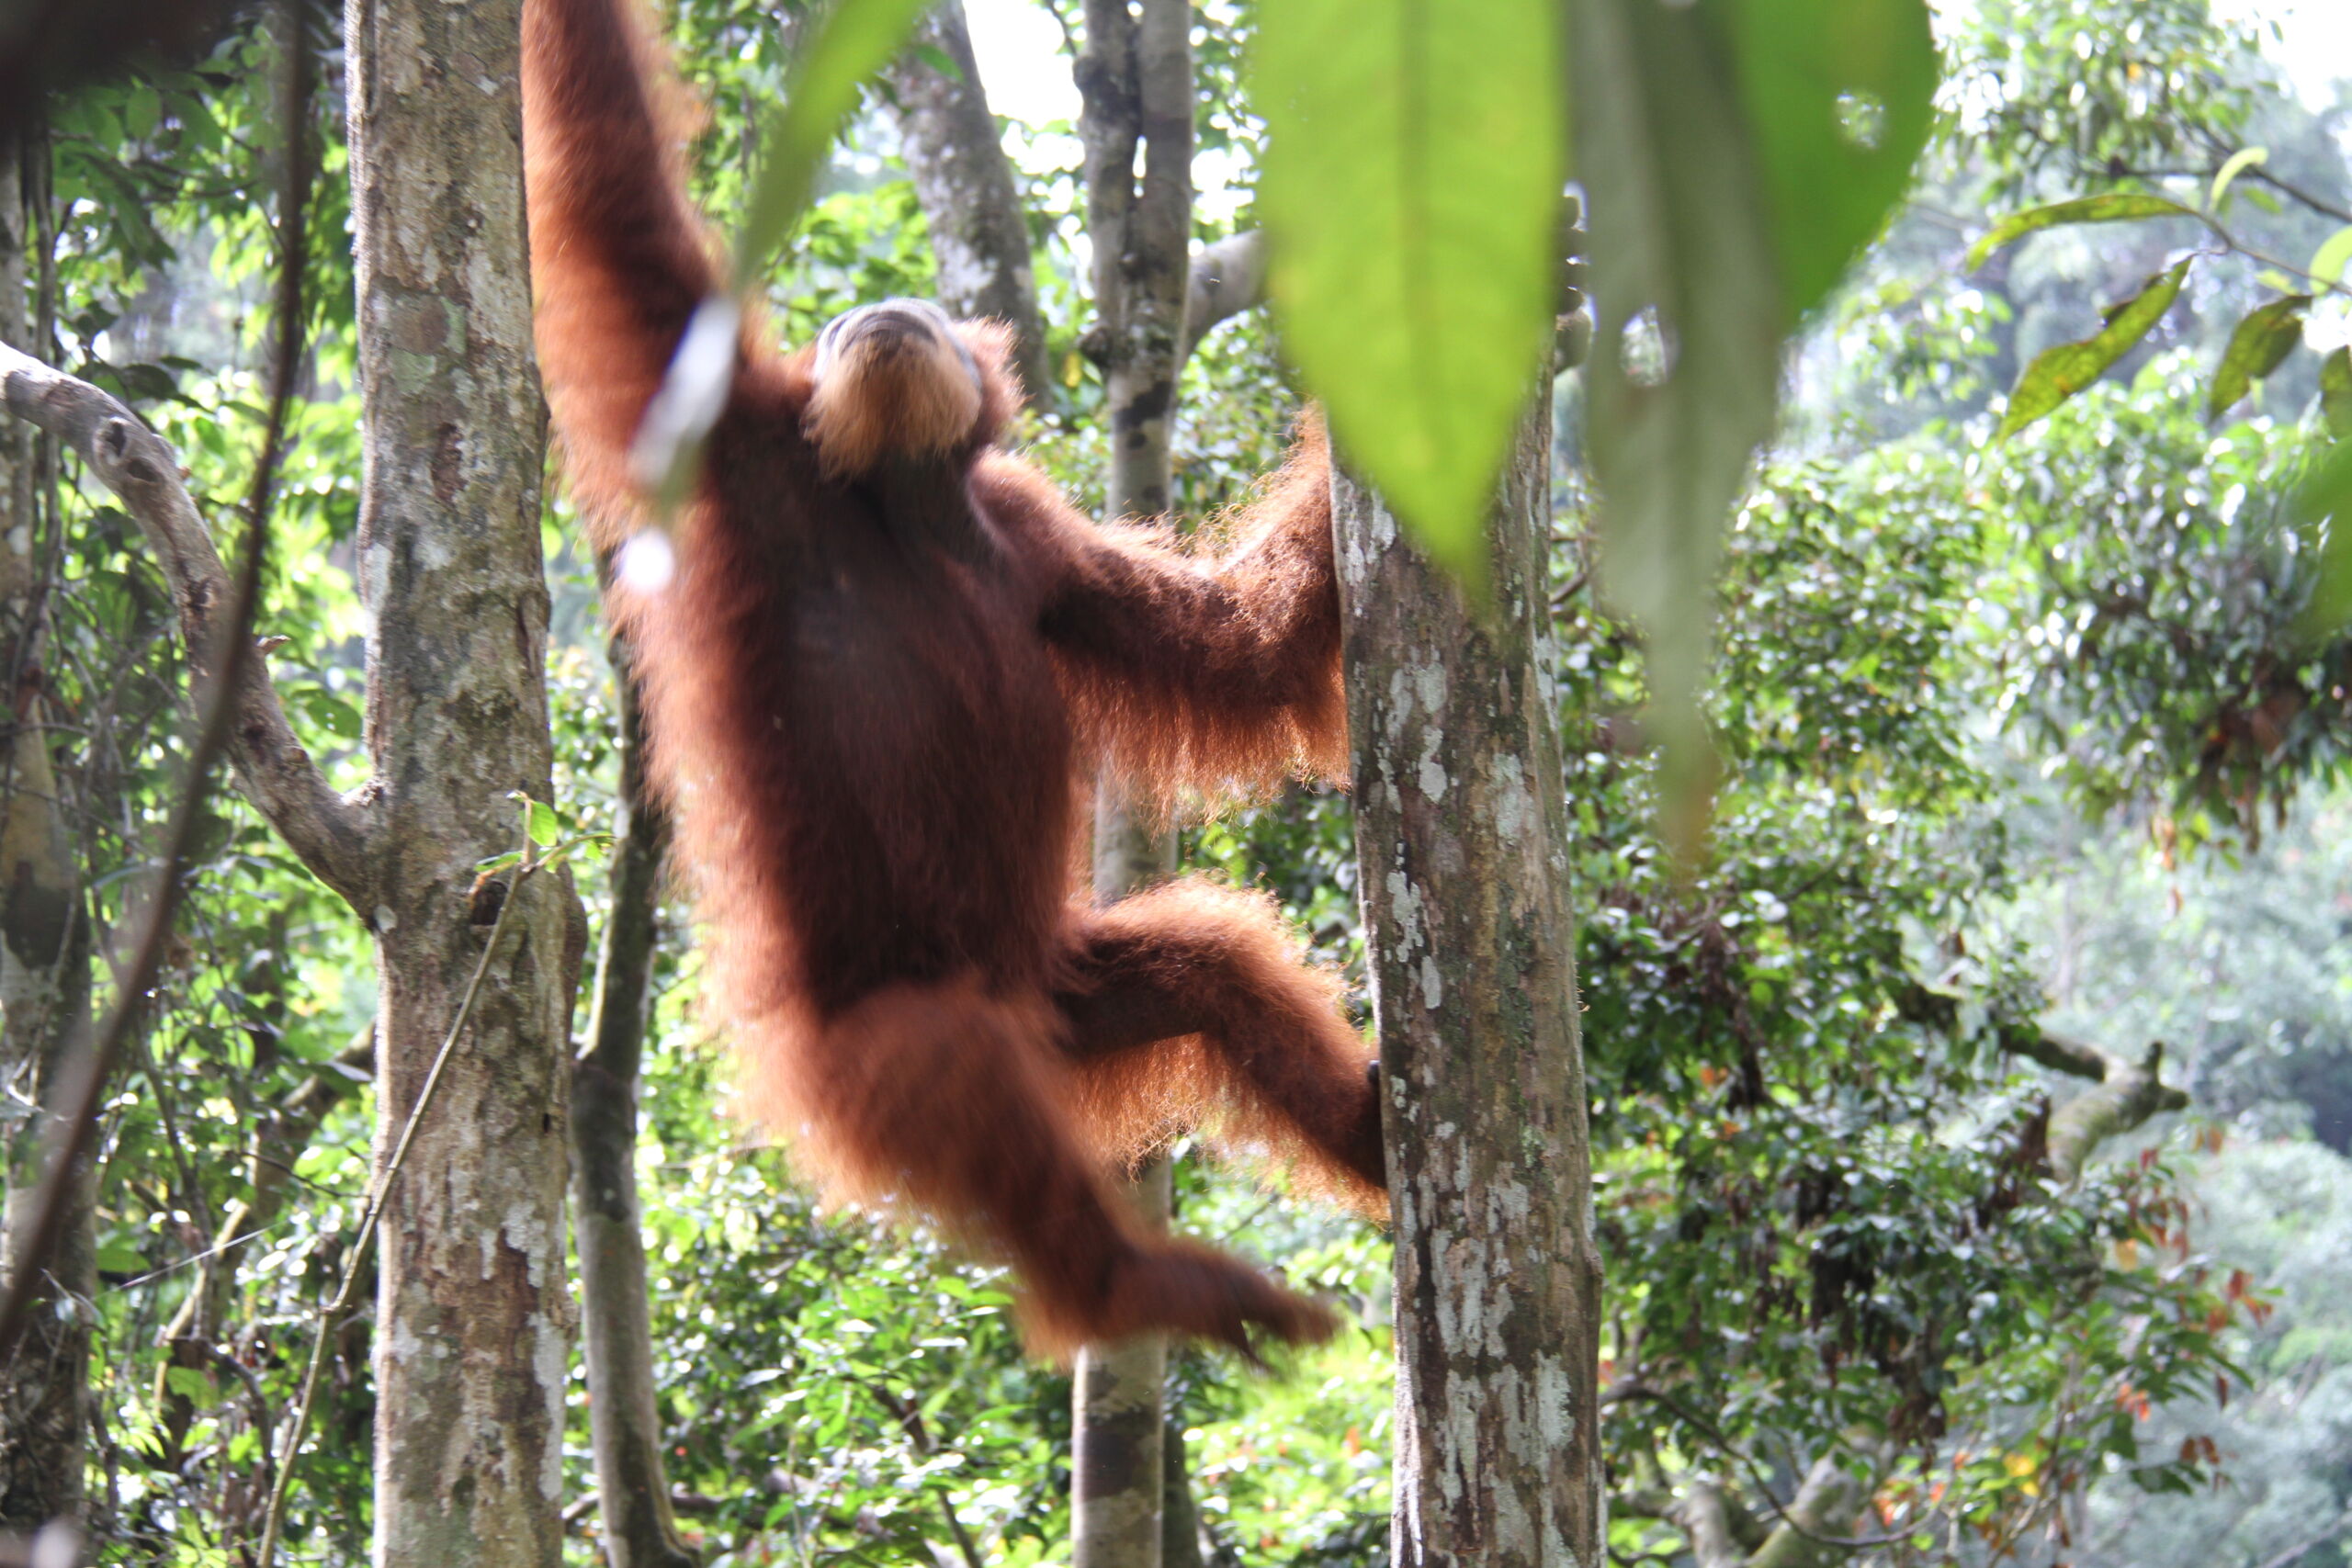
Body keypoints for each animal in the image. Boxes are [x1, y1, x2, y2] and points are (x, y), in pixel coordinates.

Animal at [522, 0, 1385, 1355]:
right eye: (834, 329)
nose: (877, 310)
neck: (895, 503)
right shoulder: (742, 446)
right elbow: (618, 203)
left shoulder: (1035, 543)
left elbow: (1236, 647)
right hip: (863, 1058)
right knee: (954, 1064)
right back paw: (1131, 1287)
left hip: (1073, 996)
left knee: (1211, 969)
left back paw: (1355, 1133)